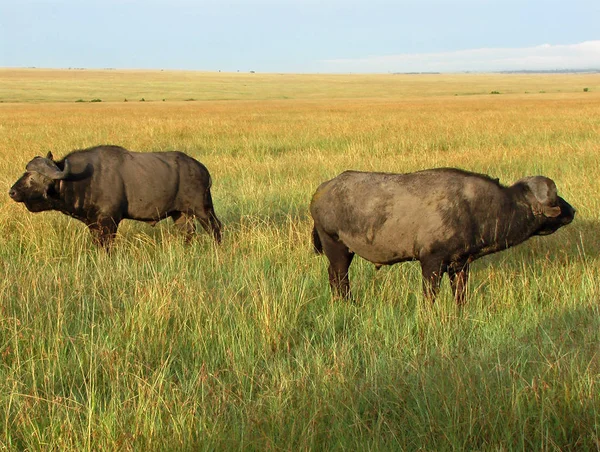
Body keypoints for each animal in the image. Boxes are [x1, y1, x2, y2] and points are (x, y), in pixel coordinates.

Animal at [8, 145, 224, 249]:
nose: (12, 192)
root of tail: (202, 169)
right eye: (25, 172)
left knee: (216, 229)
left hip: (203, 209)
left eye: (32, 177)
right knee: (188, 233)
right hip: (180, 214)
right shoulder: (94, 224)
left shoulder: (109, 222)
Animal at [310, 168, 576, 306]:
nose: (572, 210)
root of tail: (323, 189)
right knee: (339, 279)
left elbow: (460, 296)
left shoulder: (460, 265)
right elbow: (431, 296)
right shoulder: (432, 263)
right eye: (556, 199)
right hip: (336, 247)